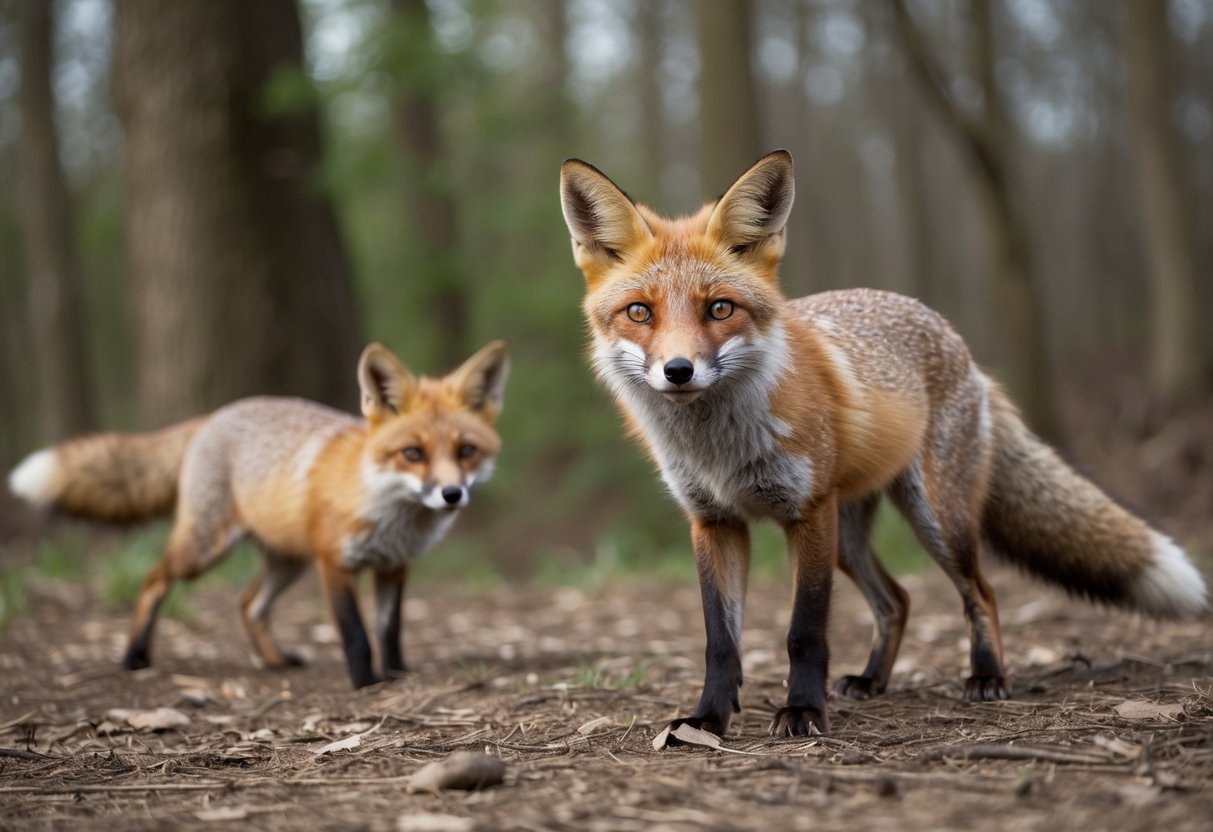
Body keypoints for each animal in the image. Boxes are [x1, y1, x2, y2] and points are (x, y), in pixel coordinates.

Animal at [8, 340, 509, 690]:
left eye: (466, 451)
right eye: (413, 454)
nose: (451, 494)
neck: (389, 510)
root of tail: (215, 415)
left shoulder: (393, 567)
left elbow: (390, 632)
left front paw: (400, 674)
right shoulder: (335, 564)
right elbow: (357, 635)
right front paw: (367, 683)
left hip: (288, 562)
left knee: (248, 604)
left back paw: (274, 660)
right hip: (206, 549)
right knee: (153, 580)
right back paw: (135, 656)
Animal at [559, 149, 1207, 738]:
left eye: (720, 308)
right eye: (639, 312)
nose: (678, 371)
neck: (720, 450)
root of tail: (961, 345)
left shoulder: (807, 513)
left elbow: (804, 631)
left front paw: (803, 712)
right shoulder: (714, 522)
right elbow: (721, 642)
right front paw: (707, 721)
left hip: (934, 520)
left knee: (983, 593)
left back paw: (987, 676)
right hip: (851, 538)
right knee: (898, 600)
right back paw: (872, 680)